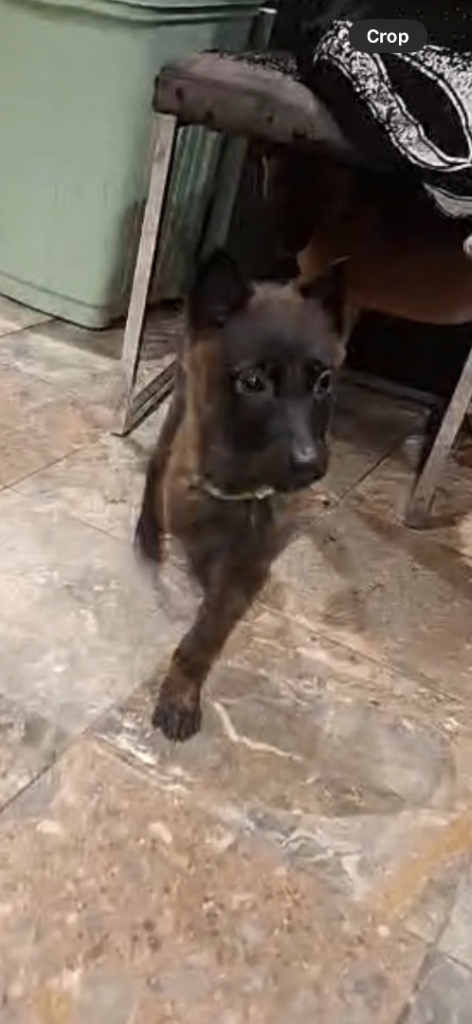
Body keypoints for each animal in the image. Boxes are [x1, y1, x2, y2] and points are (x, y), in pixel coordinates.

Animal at [136, 249, 350, 741]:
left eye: (324, 382)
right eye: (253, 382)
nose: (311, 464)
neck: (243, 491)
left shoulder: (250, 566)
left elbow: (207, 633)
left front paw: (181, 693)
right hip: (180, 397)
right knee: (157, 460)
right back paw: (148, 537)